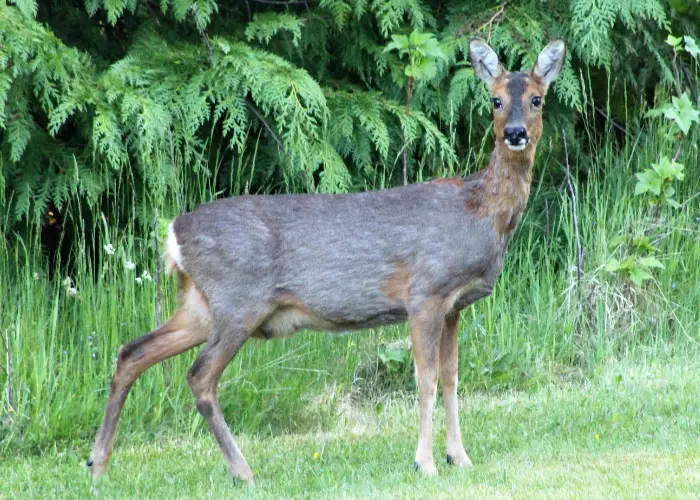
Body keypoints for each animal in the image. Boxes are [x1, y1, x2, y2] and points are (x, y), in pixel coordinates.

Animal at [87, 39, 568, 484]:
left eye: (536, 98)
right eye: (496, 100)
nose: (516, 133)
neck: (480, 213)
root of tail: (173, 234)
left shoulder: (455, 305)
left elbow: (451, 378)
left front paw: (460, 458)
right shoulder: (425, 292)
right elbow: (426, 379)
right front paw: (425, 463)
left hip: (201, 306)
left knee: (132, 351)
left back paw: (97, 464)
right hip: (238, 301)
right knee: (199, 377)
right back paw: (243, 471)